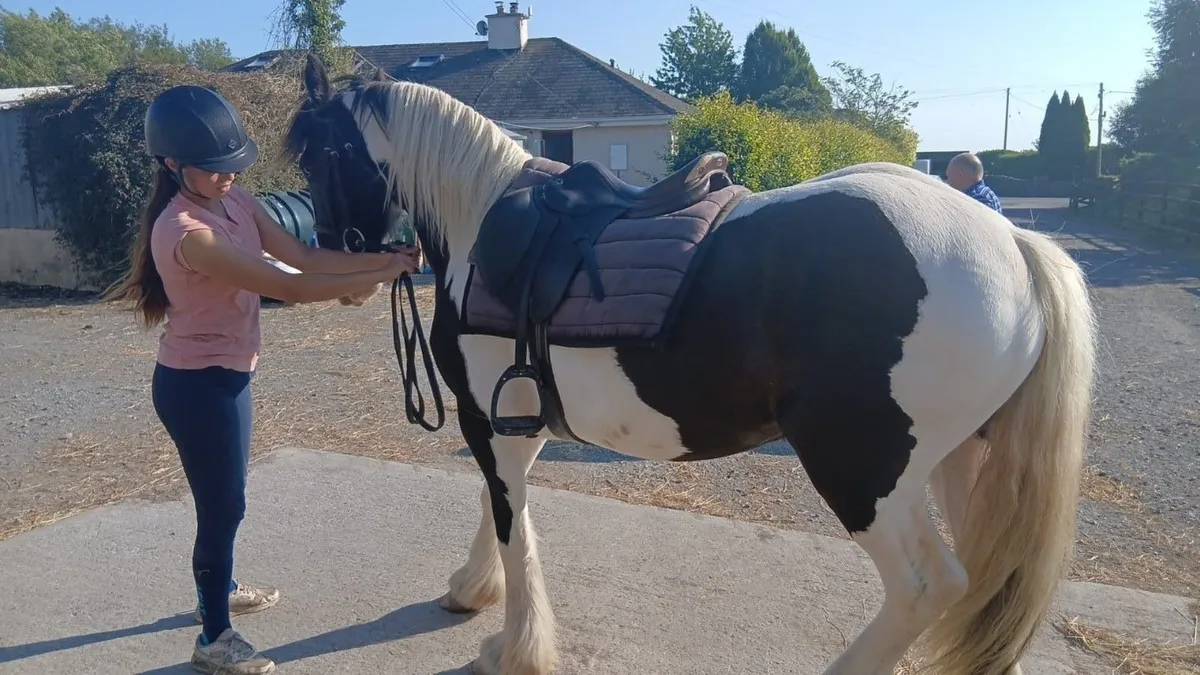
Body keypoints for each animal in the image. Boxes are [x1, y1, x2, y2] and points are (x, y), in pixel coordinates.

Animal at [282, 53, 1096, 675]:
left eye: (319, 154)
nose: (340, 255)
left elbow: (514, 523)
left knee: (929, 585)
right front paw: (471, 589)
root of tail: (1012, 244)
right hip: (962, 461)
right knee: (979, 581)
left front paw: (514, 648)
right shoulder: (518, 418)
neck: (483, 224)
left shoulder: (489, 419)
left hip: (865, 472)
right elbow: (499, 505)